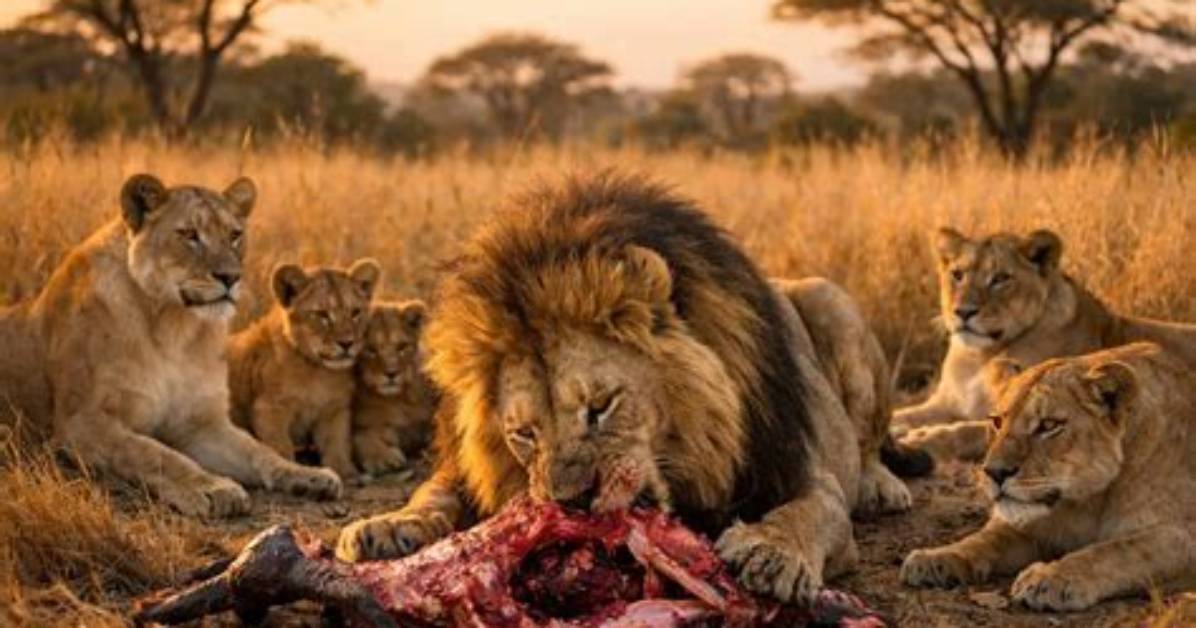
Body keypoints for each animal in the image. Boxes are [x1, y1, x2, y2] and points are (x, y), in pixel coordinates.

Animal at [0, 174, 342, 518]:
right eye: (189, 235)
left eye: (234, 235)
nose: (231, 277)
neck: (175, 330)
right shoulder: (82, 423)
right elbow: (155, 453)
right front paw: (212, 488)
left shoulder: (200, 424)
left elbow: (258, 450)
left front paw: (307, 476)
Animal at [228, 259, 381, 482]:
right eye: (322, 315)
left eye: (355, 312)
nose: (347, 343)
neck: (318, 373)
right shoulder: (270, 409)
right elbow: (281, 448)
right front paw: (295, 473)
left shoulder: (334, 410)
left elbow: (337, 443)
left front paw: (346, 472)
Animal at [352, 299, 439, 476]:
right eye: (370, 349)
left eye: (402, 347)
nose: (391, 373)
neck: (396, 400)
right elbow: (361, 438)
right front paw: (382, 458)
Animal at [895, 227, 1196, 462]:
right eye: (957, 274)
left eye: (1000, 278)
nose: (963, 312)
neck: (981, 357)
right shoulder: (945, 403)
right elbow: (907, 412)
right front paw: (897, 425)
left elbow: (968, 430)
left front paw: (921, 438)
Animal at [902, 342, 1196, 611]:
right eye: (997, 422)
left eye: (1049, 425)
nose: (994, 472)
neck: (1088, 501)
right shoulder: (1032, 526)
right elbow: (985, 539)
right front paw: (936, 557)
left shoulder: (1183, 533)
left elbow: (1118, 551)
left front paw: (1052, 578)